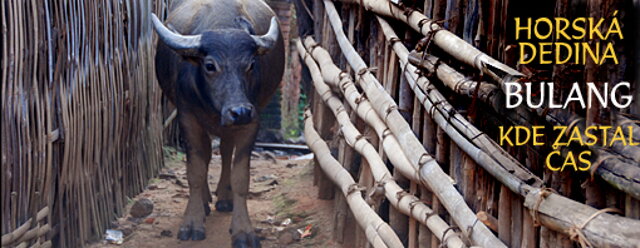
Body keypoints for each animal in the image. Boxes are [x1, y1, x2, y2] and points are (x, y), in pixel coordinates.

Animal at [150, 0, 282, 246]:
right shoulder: (187, 117)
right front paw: (192, 223)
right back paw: (204, 201)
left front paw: (243, 230)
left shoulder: (252, 121)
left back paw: (224, 198)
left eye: (251, 64)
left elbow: (241, 177)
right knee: (206, 155)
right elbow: (196, 170)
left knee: (225, 151)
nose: (240, 111)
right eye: (210, 66)